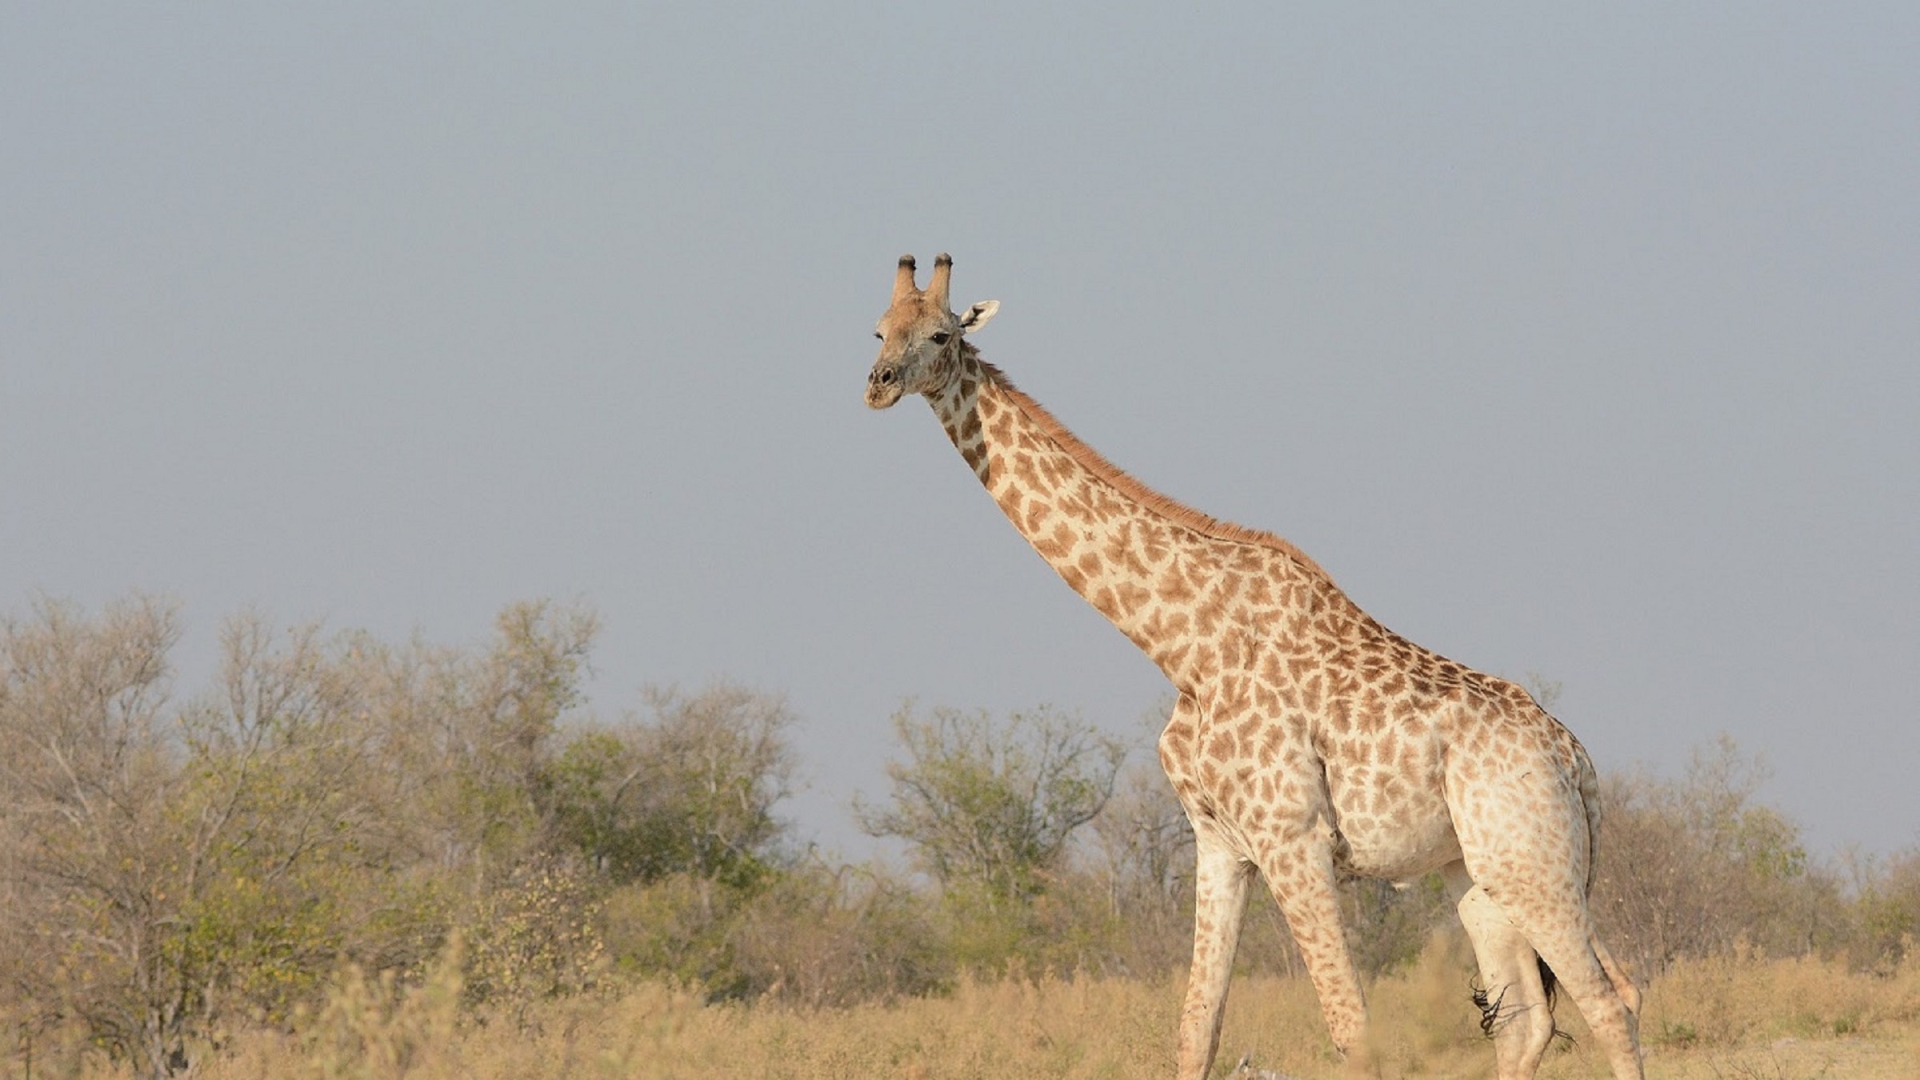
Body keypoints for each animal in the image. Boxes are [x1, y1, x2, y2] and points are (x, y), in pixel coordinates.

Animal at [864, 254, 1645, 1080]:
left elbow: (1351, 1027)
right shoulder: (1219, 843)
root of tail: (1577, 762)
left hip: (1534, 862)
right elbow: (1197, 1025)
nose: (877, 383)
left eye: (940, 334)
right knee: (1529, 1019)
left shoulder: (1293, 838)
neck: (1180, 645)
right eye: (879, 330)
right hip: (1479, 872)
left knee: (1610, 1002)